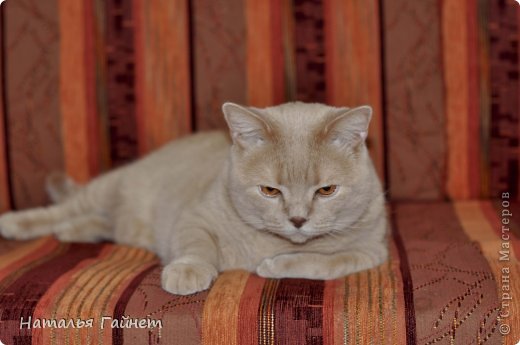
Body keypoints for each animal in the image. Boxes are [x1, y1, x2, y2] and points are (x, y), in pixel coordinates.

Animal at [0, 101, 386, 292]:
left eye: (326, 190)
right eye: (270, 190)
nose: (298, 219)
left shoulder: (371, 252)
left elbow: (326, 261)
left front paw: (276, 265)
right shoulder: (194, 218)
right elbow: (196, 245)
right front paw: (188, 271)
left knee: (99, 223)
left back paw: (75, 230)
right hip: (106, 187)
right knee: (60, 209)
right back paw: (16, 223)